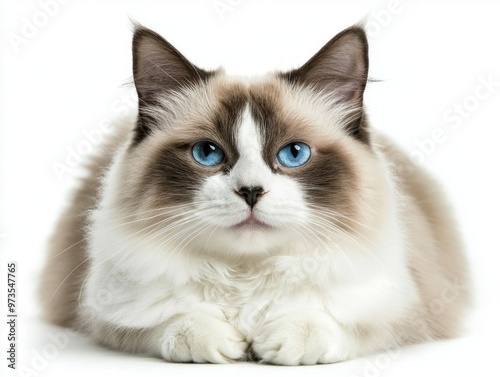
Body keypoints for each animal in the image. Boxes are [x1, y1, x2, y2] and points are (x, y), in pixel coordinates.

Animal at [38, 23, 468, 364]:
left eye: (293, 154)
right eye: (207, 153)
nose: (250, 191)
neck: (245, 275)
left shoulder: (406, 312)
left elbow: (329, 322)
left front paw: (282, 342)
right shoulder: (102, 313)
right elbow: (171, 323)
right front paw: (222, 343)